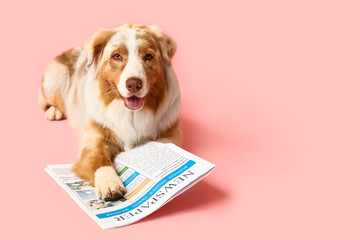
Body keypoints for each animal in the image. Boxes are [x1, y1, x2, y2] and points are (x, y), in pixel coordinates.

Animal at [38, 24, 183, 201]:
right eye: (117, 56)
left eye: (148, 56)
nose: (133, 84)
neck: (130, 113)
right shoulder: (94, 138)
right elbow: (99, 160)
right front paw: (109, 182)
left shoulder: (170, 136)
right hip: (56, 79)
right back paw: (54, 111)